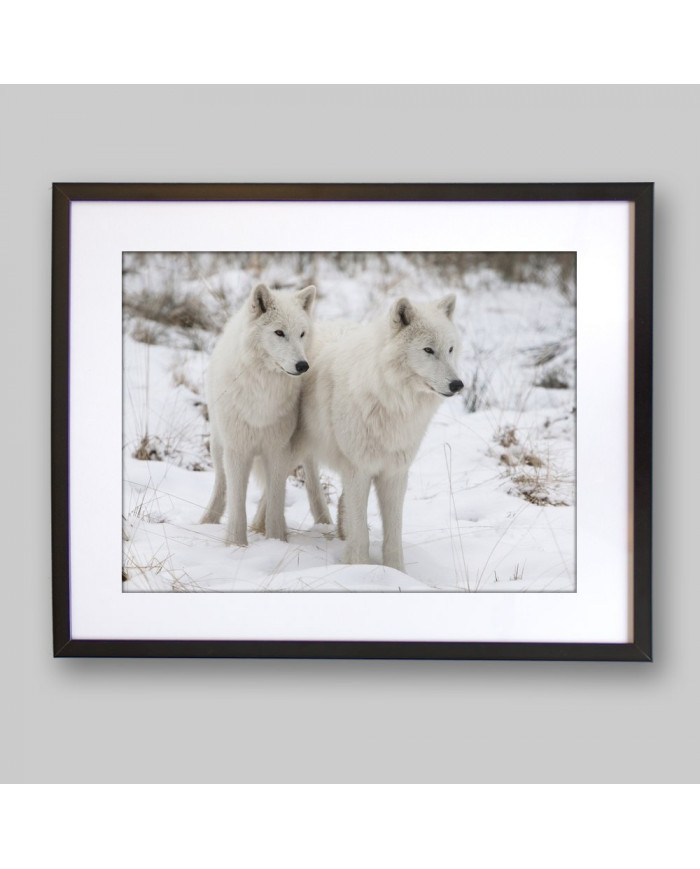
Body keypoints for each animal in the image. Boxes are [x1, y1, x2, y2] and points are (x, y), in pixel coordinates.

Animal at [200, 283, 330, 546]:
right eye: (279, 333)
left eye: (302, 334)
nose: (303, 366)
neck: (264, 393)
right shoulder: (238, 450)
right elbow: (237, 501)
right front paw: (236, 544)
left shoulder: (278, 449)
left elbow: (275, 500)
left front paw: (276, 540)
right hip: (218, 444)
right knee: (221, 484)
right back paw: (208, 520)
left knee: (309, 475)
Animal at [292, 294, 463, 573]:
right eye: (428, 350)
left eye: (450, 349)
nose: (458, 385)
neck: (391, 400)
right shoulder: (358, 470)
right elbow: (361, 531)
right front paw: (360, 567)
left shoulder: (395, 473)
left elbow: (393, 535)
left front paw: (397, 572)